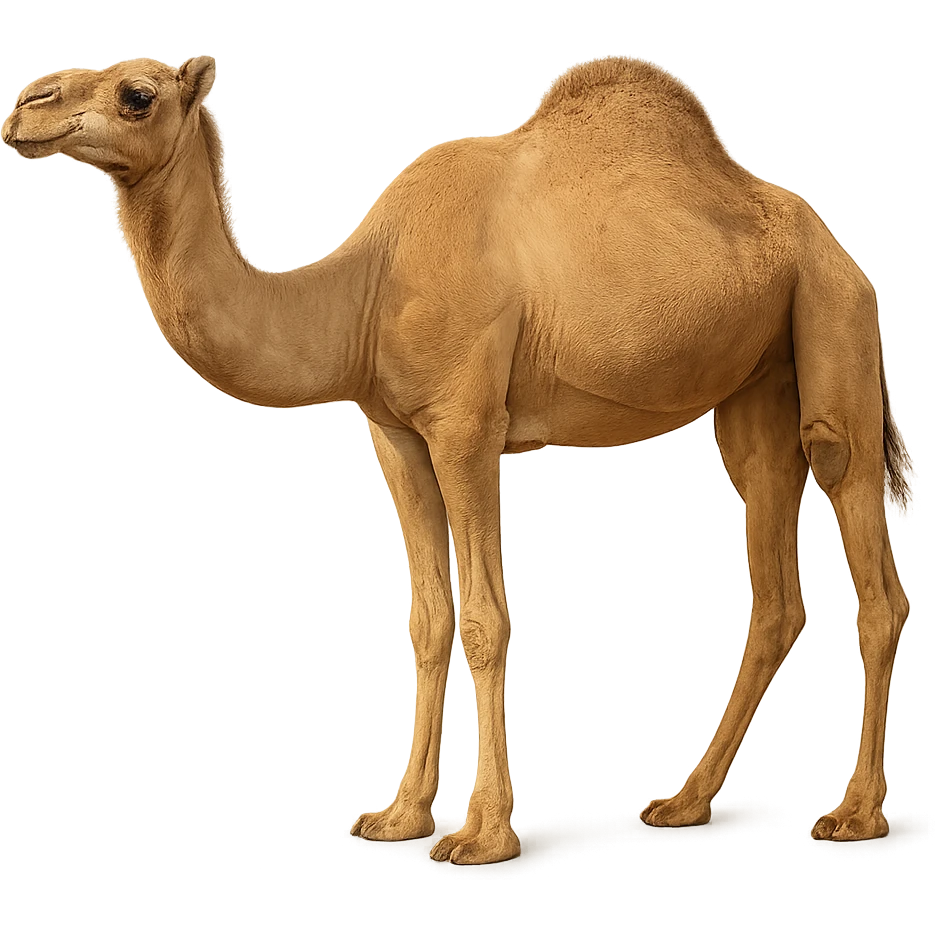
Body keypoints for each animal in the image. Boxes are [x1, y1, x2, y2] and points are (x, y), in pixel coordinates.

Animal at [2, 53, 913, 865]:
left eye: (136, 92)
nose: (24, 107)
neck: (361, 292)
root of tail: (838, 249)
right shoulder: (396, 434)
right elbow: (427, 618)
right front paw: (400, 815)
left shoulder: (465, 424)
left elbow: (484, 617)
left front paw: (481, 834)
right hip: (755, 383)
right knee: (774, 575)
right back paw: (683, 799)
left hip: (830, 321)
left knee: (867, 556)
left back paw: (855, 813)